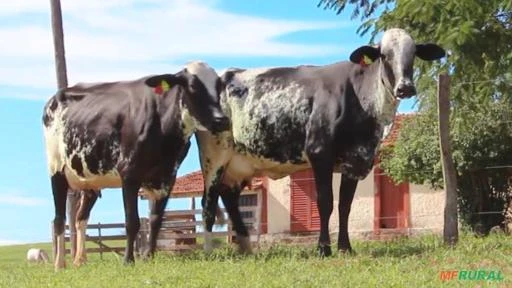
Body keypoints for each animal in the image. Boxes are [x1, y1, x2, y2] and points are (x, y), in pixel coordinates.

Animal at [42, 60, 230, 270]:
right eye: (192, 86)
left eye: (218, 87)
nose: (221, 120)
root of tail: (56, 97)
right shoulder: (130, 175)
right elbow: (132, 222)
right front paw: (128, 260)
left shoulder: (168, 178)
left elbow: (156, 220)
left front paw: (149, 256)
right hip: (56, 170)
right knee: (59, 219)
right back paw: (60, 264)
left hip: (89, 180)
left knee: (80, 219)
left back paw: (79, 260)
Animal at [196, 28, 444, 255]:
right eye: (384, 55)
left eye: (413, 53)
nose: (405, 87)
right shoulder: (320, 153)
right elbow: (325, 202)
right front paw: (324, 248)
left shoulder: (356, 159)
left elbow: (345, 205)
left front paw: (345, 247)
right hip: (214, 155)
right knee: (208, 204)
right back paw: (208, 251)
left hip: (238, 164)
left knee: (230, 200)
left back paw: (245, 249)